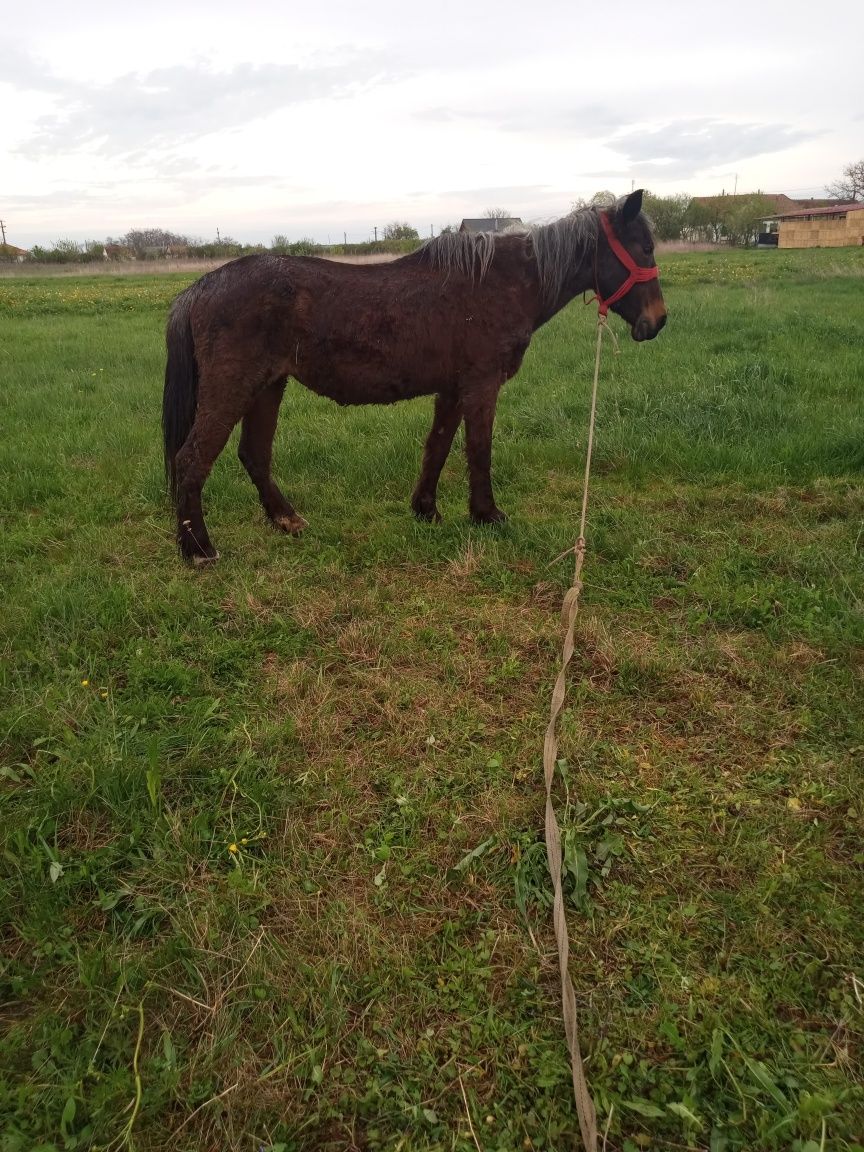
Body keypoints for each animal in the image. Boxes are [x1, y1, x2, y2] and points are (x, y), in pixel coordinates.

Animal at [162, 187, 668, 562]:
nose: (658, 322)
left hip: (268, 386)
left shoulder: (453, 389)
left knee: (254, 455)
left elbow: (438, 447)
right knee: (191, 460)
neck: (500, 283)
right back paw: (199, 548)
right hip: (233, 389)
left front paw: (425, 509)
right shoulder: (481, 384)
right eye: (645, 248)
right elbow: (478, 450)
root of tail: (200, 287)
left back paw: (285, 520)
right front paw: (487, 514)